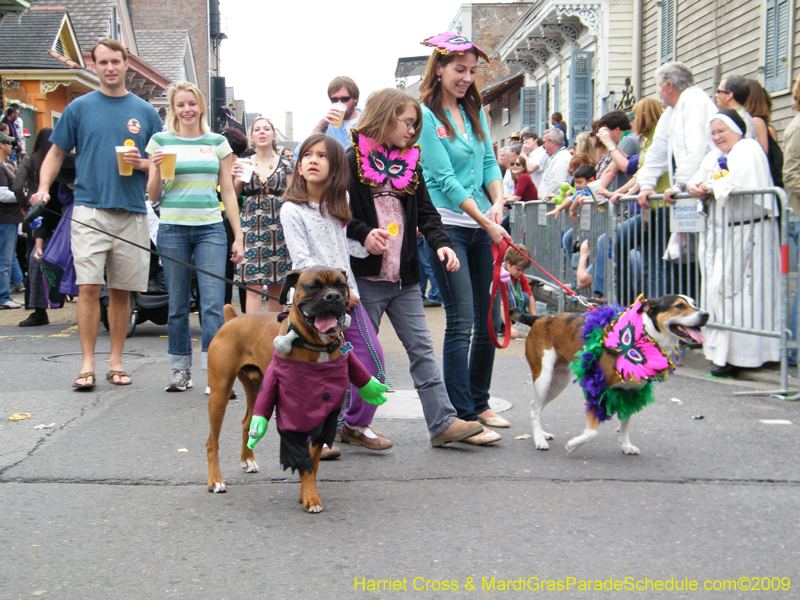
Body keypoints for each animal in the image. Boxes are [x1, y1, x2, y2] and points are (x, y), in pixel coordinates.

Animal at [205, 268, 370, 510]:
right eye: (313, 286)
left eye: (341, 285)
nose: (332, 296)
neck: (316, 345)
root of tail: (233, 319)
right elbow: (302, 456)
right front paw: (310, 497)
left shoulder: (325, 412)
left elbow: (312, 460)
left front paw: (307, 494)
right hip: (220, 393)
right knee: (212, 442)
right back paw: (216, 481)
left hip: (256, 389)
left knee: (247, 423)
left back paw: (248, 460)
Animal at [512, 296, 708, 454]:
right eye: (679, 305)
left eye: (694, 303)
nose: (705, 315)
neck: (645, 335)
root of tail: (540, 318)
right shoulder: (596, 389)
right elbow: (592, 432)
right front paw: (573, 444)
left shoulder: (631, 393)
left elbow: (625, 425)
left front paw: (625, 445)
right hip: (544, 378)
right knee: (536, 408)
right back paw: (539, 440)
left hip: (558, 382)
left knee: (534, 406)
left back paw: (542, 434)